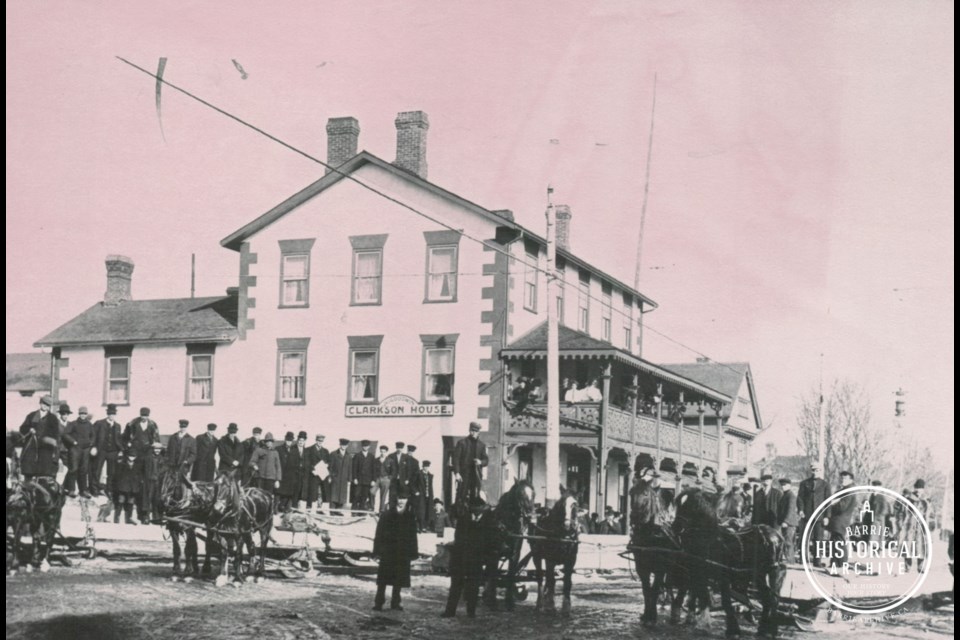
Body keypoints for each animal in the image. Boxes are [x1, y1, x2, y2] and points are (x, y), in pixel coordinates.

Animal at [480, 480, 540, 608]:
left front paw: (509, 602)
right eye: (520, 494)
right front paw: (492, 602)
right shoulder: (495, 553)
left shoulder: (514, 554)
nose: (532, 517)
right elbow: (494, 575)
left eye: (534, 494)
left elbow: (510, 574)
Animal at [632, 478, 684, 628]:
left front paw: (652, 618)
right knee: (669, 584)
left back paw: (677, 611)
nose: (633, 517)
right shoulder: (641, 567)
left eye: (645, 494)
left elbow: (654, 590)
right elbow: (646, 590)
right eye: (631, 493)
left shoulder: (661, 568)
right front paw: (646, 615)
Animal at [672, 488, 784, 636]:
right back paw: (763, 629)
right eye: (678, 504)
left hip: (770, 571)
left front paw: (732, 629)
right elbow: (701, 595)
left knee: (773, 599)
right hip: (759, 574)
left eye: (691, 506)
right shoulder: (701, 573)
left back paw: (770, 628)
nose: (675, 527)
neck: (712, 540)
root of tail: (775, 535)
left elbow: (724, 601)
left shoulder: (723, 577)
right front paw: (701, 621)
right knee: (768, 598)